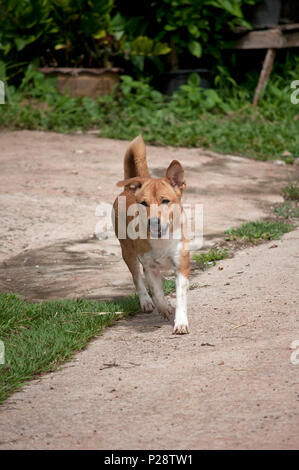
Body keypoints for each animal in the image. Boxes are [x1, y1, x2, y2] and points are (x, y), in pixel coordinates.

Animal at [113, 136, 190, 334]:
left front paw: (180, 322)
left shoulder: (181, 266)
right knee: (137, 278)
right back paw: (146, 302)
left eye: (165, 201)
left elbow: (181, 296)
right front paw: (165, 307)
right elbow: (156, 293)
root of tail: (128, 188)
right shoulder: (150, 267)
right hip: (127, 252)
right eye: (143, 203)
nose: (153, 221)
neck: (161, 240)